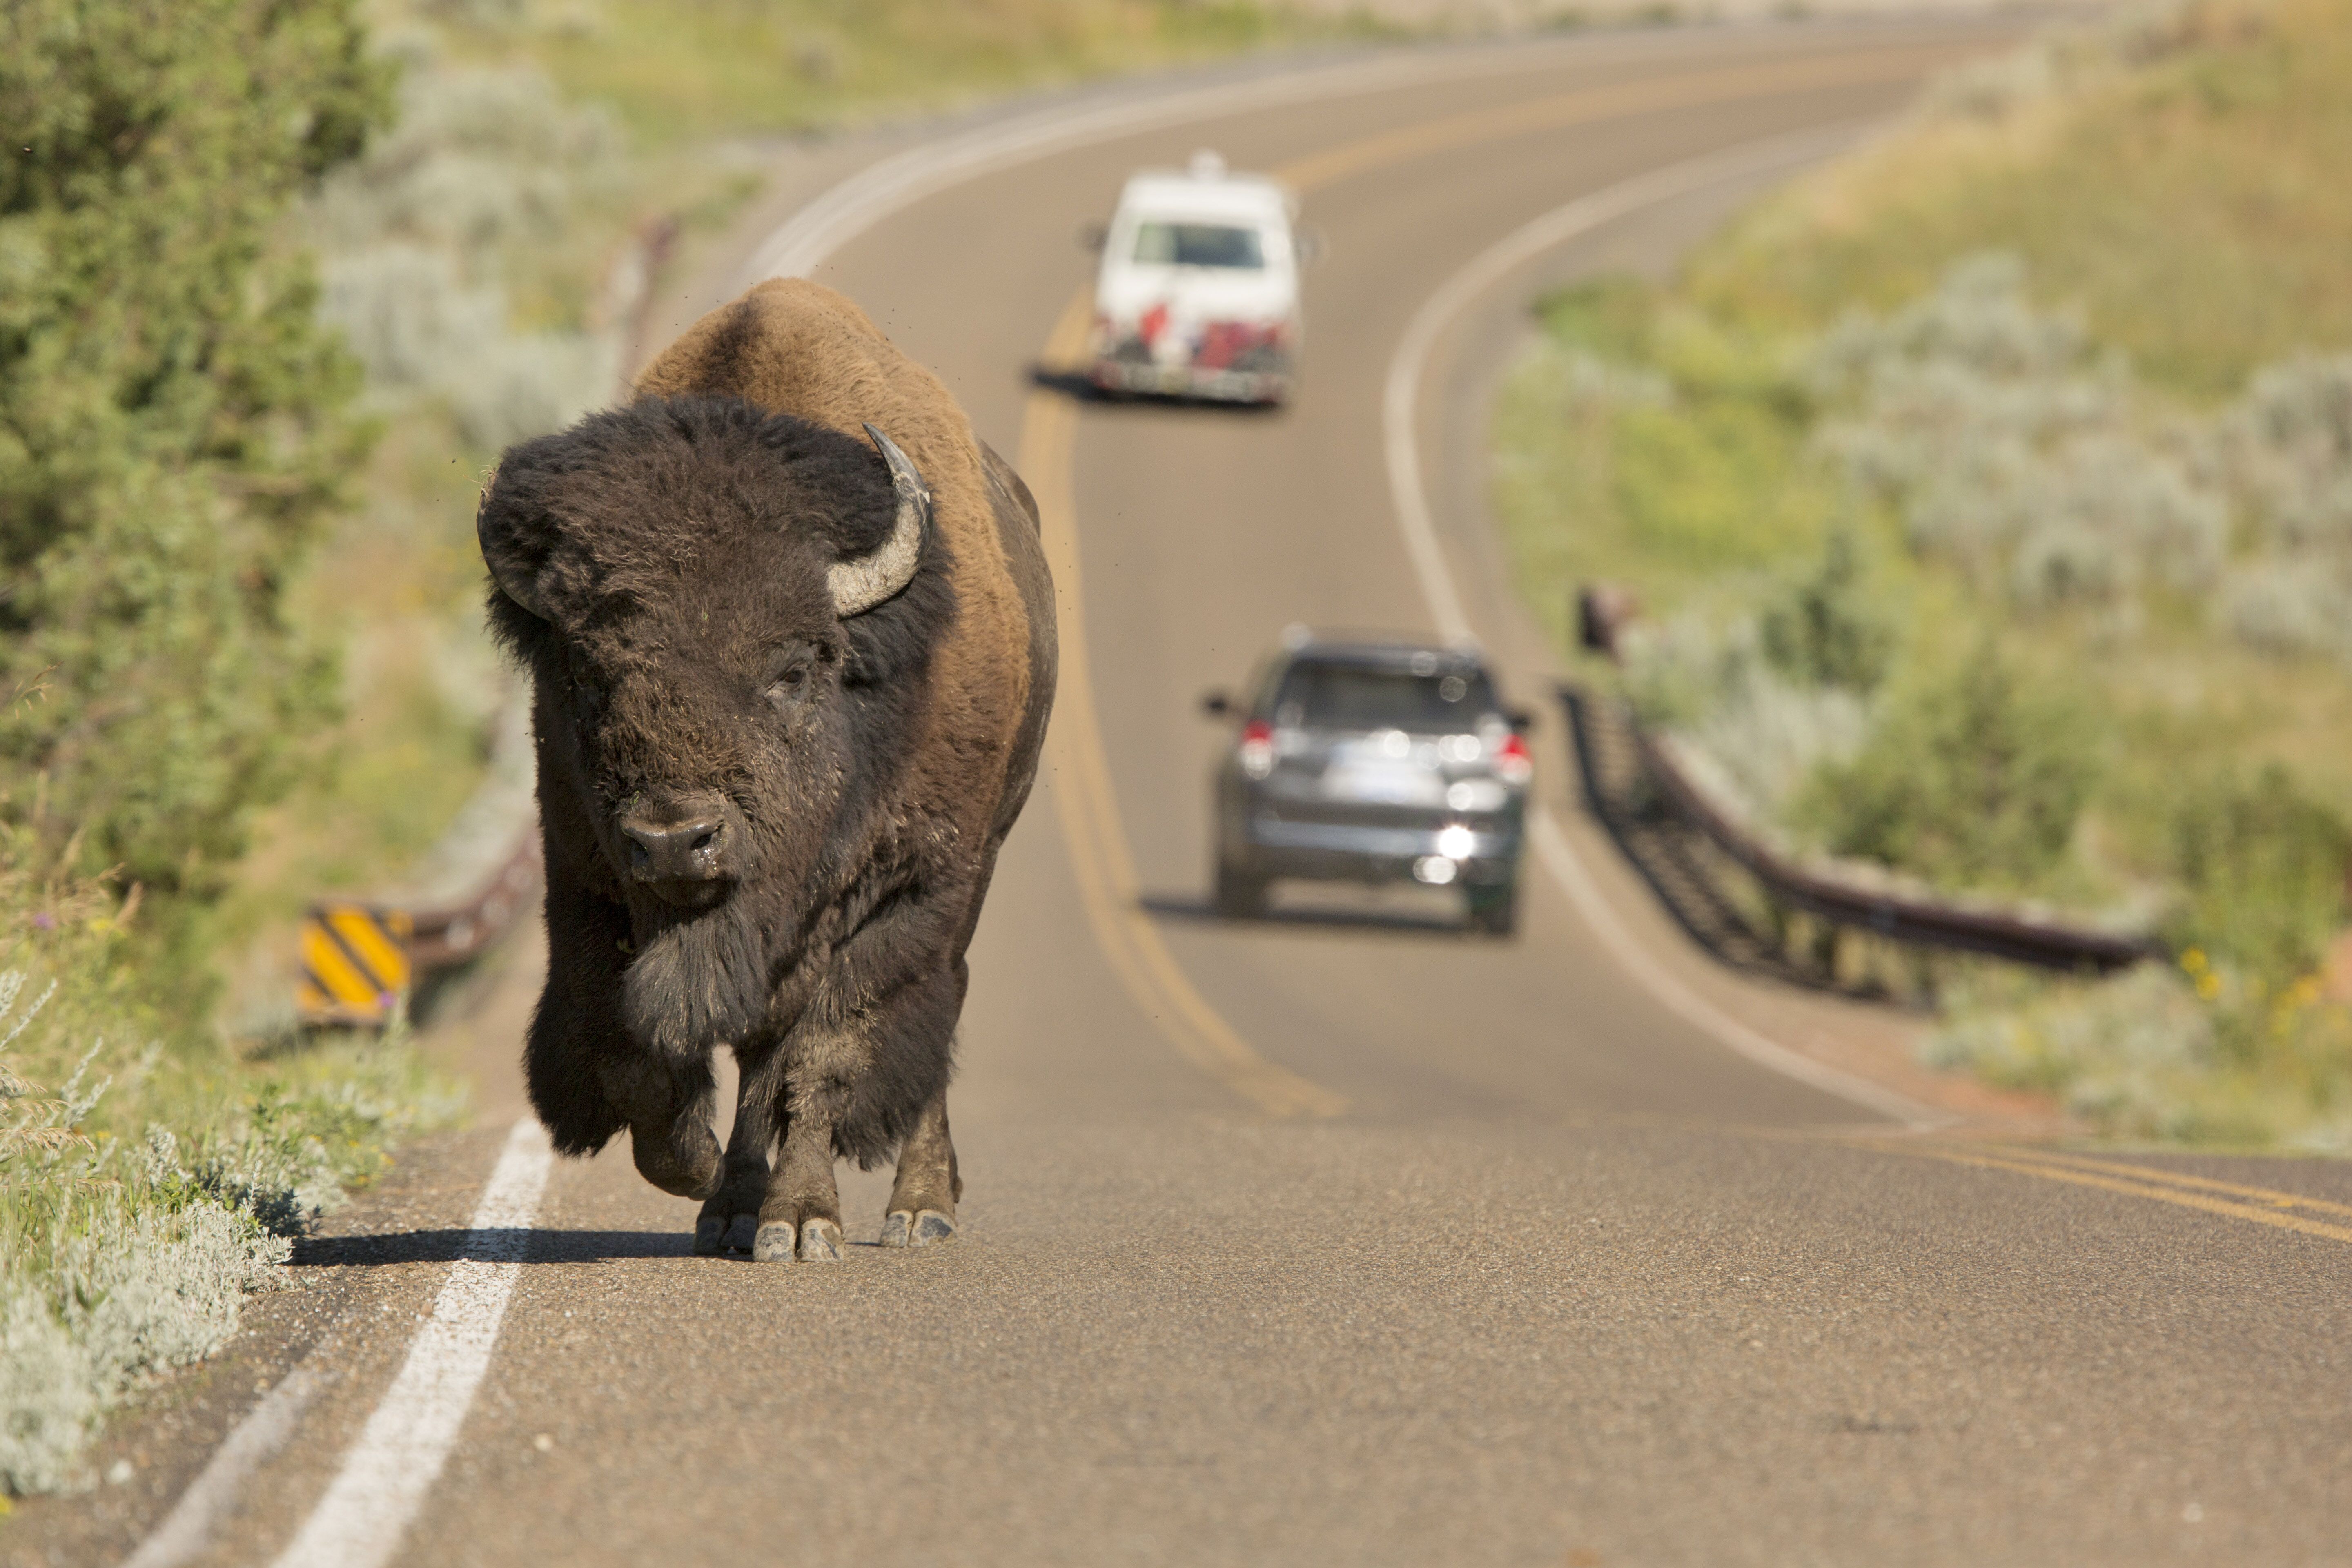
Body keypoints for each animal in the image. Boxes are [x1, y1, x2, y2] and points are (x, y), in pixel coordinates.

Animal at [477, 278, 1058, 1260]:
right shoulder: (588, 881)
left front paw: (804, 1224)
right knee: (761, 1051)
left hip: (975, 870)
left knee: (928, 1014)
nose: (677, 839)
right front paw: (705, 1175)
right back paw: (733, 1207)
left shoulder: (905, 897)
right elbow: (647, 1054)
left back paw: (918, 1209)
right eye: (586, 675)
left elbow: (829, 1054)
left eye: (789, 672)